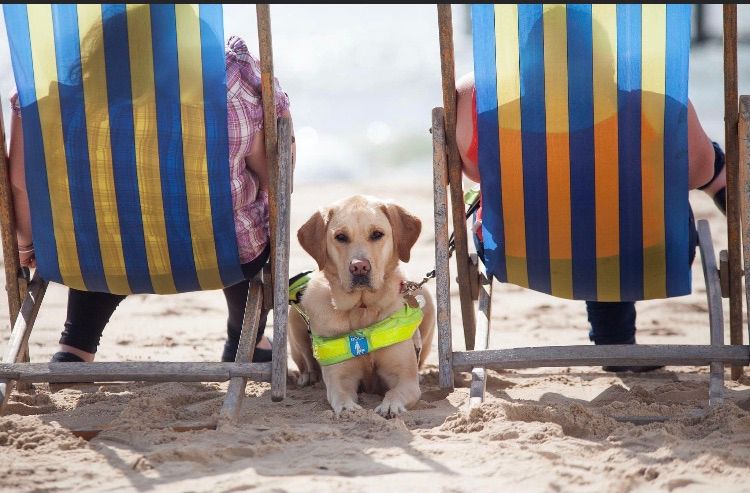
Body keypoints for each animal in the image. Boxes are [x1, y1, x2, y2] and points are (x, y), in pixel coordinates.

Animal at [290, 194, 438, 418]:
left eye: (377, 234)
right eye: (341, 237)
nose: (359, 267)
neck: (362, 309)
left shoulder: (405, 379)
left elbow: (396, 392)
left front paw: (390, 406)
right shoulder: (340, 378)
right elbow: (341, 395)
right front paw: (348, 409)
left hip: (426, 298)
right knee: (306, 358)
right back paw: (308, 376)